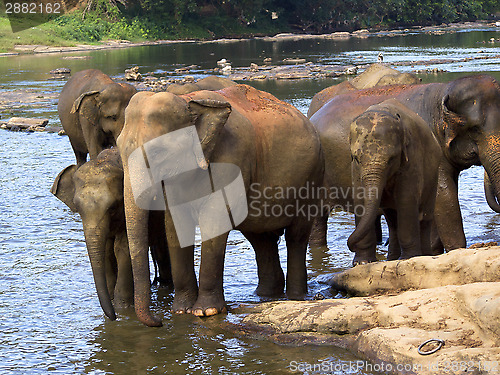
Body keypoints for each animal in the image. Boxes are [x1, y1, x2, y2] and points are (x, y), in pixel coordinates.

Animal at [50, 148, 172, 322]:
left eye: (113, 207)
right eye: (78, 209)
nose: (113, 318)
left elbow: (122, 249)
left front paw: (122, 308)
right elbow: (107, 251)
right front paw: (114, 302)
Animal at [116, 83, 322, 328]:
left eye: (158, 151)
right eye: (118, 148)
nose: (159, 320)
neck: (188, 101)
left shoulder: (231, 158)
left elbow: (215, 220)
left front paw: (206, 312)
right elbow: (175, 225)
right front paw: (180, 311)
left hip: (310, 179)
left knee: (296, 236)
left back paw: (295, 296)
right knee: (261, 239)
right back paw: (266, 295)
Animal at [348, 100, 442, 264]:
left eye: (391, 159)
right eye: (357, 158)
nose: (350, 246)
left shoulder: (412, 158)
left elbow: (406, 199)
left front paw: (408, 258)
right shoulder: (355, 169)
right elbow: (360, 199)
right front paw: (362, 262)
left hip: (433, 177)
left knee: (424, 218)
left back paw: (424, 255)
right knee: (392, 221)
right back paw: (392, 258)